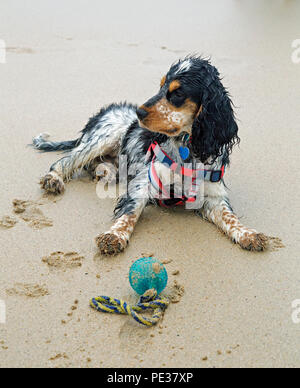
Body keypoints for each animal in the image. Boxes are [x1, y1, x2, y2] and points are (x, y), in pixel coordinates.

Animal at [32, 54, 278, 255]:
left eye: (177, 93)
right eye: (160, 87)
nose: (139, 112)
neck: (187, 148)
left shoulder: (213, 195)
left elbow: (230, 216)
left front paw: (249, 233)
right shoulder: (144, 182)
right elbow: (129, 213)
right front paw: (114, 235)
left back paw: (104, 172)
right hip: (104, 136)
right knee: (66, 160)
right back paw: (53, 179)